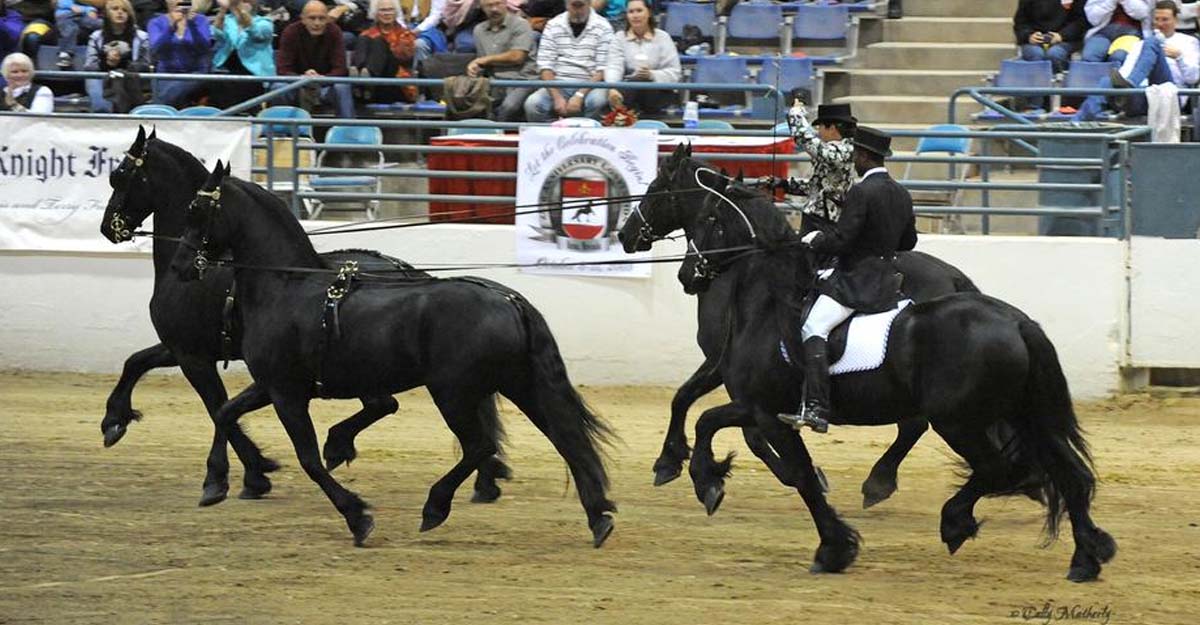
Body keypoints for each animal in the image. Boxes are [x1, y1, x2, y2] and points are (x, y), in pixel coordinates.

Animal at [102, 127, 511, 506]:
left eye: (120, 174)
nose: (108, 227)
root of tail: (406, 271)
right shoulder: (184, 348)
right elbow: (136, 362)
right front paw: (115, 419)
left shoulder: (193, 355)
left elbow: (215, 407)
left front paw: (252, 473)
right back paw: (485, 478)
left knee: (388, 405)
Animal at [168, 161, 614, 547]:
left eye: (195, 208)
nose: (179, 265)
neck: (286, 286)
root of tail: (508, 299)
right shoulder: (271, 385)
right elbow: (225, 412)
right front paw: (215, 484)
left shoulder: (286, 393)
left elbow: (308, 459)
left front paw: (357, 517)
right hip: (518, 384)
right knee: (563, 438)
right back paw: (598, 517)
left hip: (453, 393)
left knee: (481, 445)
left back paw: (435, 507)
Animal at [614, 141, 979, 506]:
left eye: (656, 188)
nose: (625, 234)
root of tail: (953, 277)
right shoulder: (729, 371)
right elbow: (689, 400)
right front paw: (674, 461)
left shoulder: (731, 371)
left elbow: (735, 426)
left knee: (915, 425)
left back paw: (878, 482)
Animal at [667, 175, 1113, 580]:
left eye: (708, 218)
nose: (687, 275)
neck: (769, 305)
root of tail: (1018, 322)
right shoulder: (756, 407)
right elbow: (709, 421)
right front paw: (706, 481)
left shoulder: (766, 410)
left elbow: (800, 475)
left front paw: (833, 549)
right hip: (1020, 415)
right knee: (1068, 475)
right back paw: (1085, 559)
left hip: (959, 422)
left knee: (1003, 468)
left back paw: (954, 521)